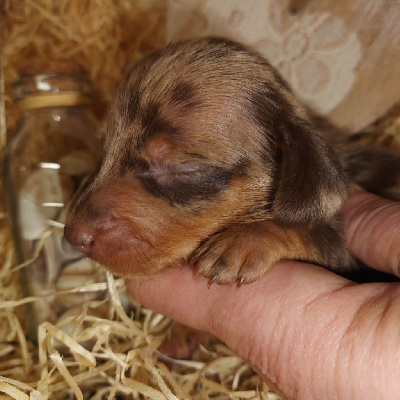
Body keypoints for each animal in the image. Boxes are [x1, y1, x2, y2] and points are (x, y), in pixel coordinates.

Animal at [64, 37, 400, 286]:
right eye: (104, 147)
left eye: (185, 165)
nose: (72, 236)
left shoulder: (340, 252)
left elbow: (304, 231)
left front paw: (240, 243)